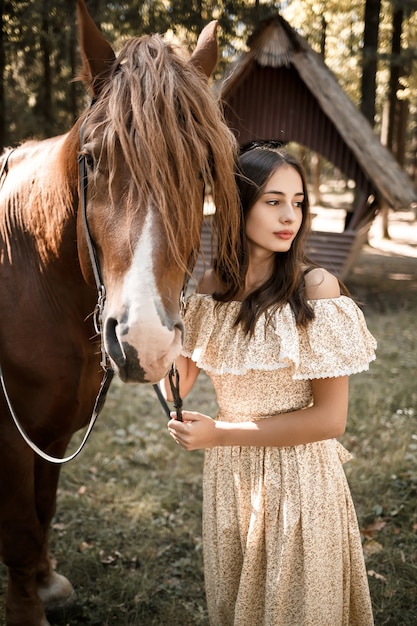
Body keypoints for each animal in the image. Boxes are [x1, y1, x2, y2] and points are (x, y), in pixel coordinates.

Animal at [0, 2, 240, 620]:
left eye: (202, 170)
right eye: (92, 161)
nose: (146, 342)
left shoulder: (53, 430)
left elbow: (43, 509)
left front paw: (45, 581)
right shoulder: (11, 438)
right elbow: (20, 530)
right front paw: (27, 609)